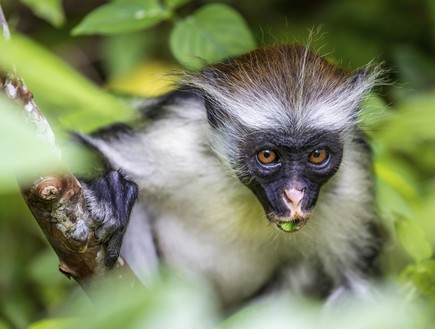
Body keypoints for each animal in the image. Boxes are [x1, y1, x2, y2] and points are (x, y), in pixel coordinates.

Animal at [76, 43, 384, 308]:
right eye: (267, 155)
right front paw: (105, 190)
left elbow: (355, 291)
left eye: (317, 155)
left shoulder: (353, 181)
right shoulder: (176, 135)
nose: (295, 195)